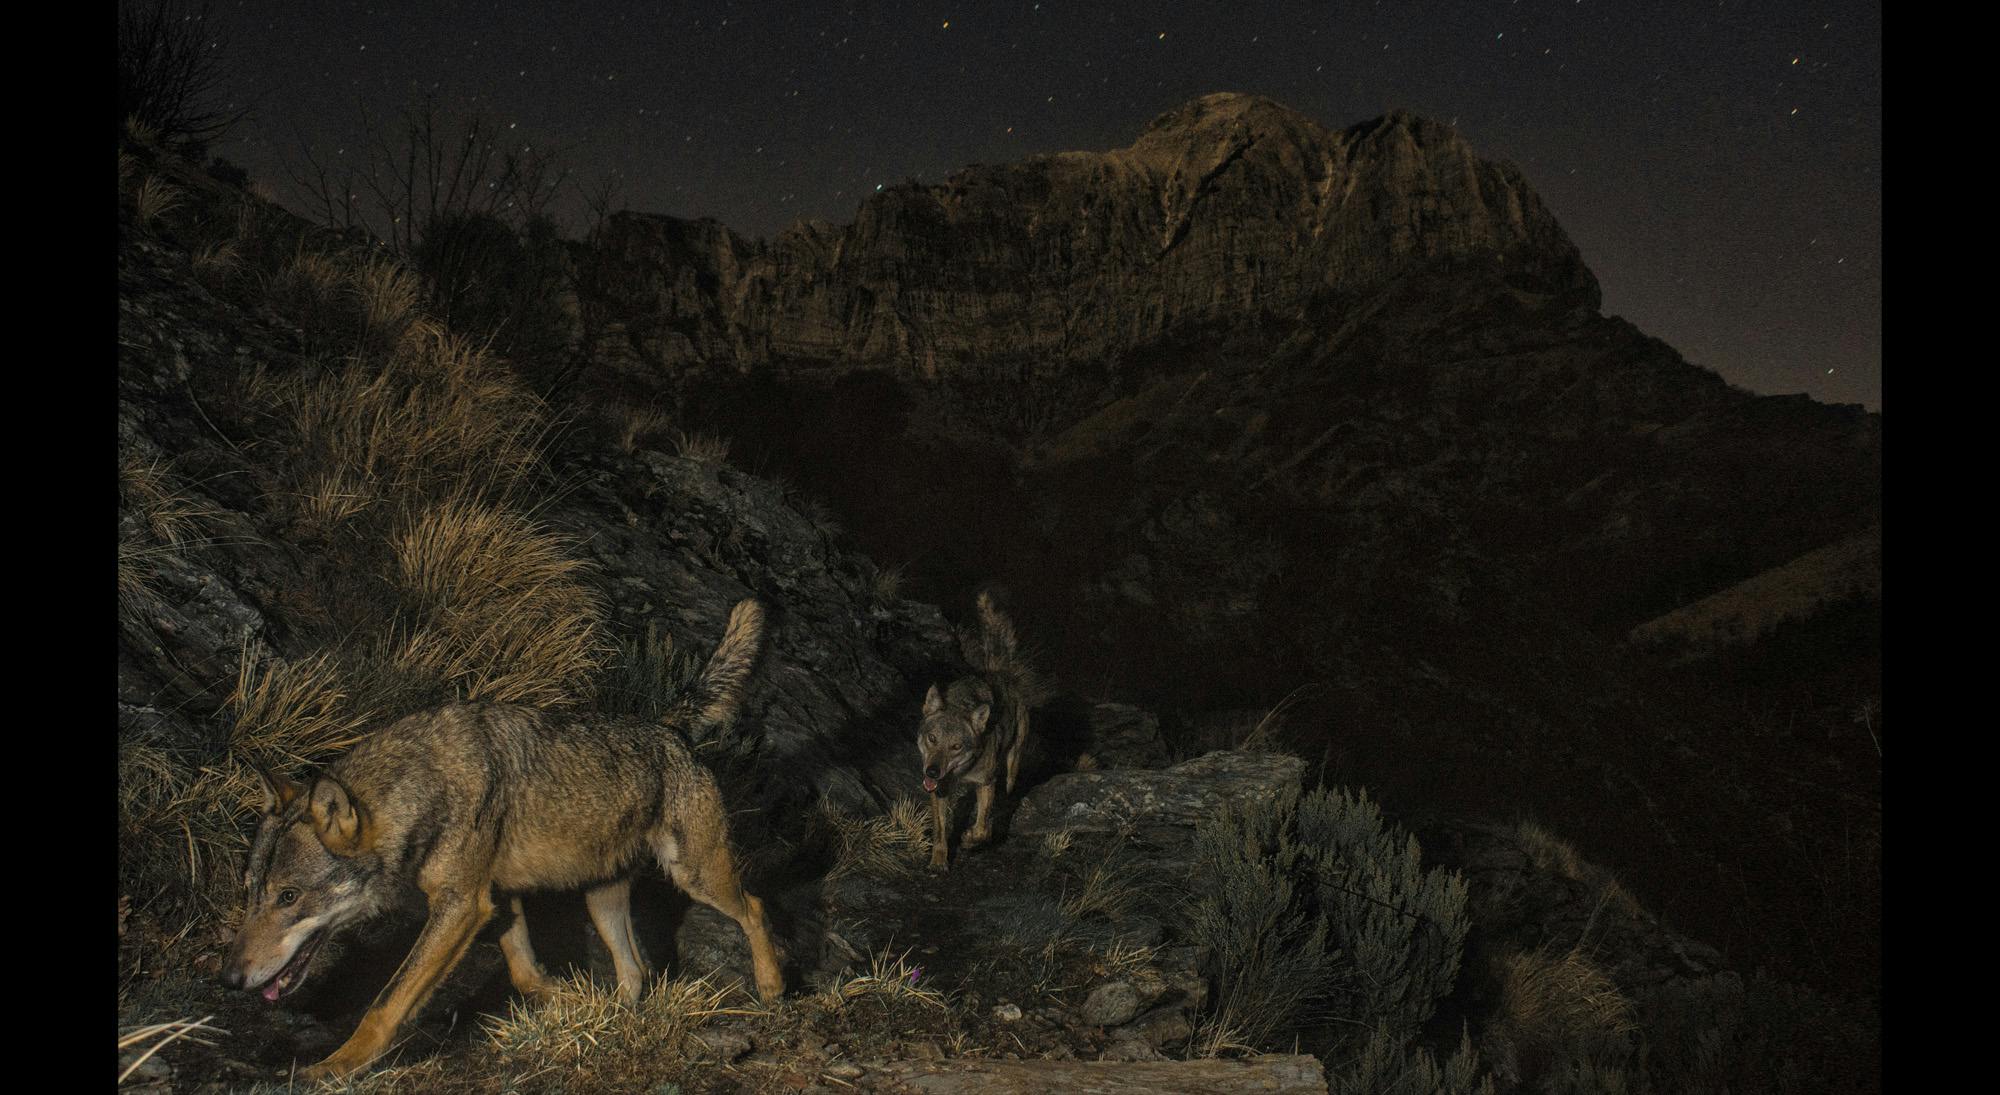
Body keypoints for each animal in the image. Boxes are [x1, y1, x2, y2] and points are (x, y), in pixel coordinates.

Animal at [219, 599, 780, 1079]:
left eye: (288, 897)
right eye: (250, 893)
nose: (230, 981)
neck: (423, 785)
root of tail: (668, 728)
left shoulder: (462, 905)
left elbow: (384, 1004)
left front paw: (333, 1067)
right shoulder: (497, 897)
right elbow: (525, 974)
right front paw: (573, 1001)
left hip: (696, 876)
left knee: (754, 907)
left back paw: (772, 989)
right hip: (601, 901)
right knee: (636, 972)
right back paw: (617, 1021)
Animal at [916, 591, 1048, 871]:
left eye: (956, 746)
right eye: (932, 739)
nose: (931, 771)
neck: (961, 774)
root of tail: (1000, 672)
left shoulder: (986, 783)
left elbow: (982, 829)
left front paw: (969, 840)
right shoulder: (939, 789)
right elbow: (941, 831)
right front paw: (938, 862)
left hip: (1011, 761)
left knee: (1007, 787)